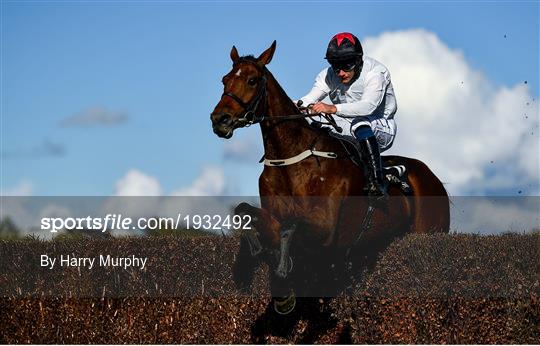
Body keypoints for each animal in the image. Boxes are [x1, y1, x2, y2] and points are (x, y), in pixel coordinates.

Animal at [209, 41, 450, 316]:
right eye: (224, 79)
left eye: (251, 80)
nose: (219, 120)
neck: (291, 159)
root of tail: (433, 178)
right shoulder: (274, 212)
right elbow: (245, 210)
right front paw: (257, 254)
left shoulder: (324, 226)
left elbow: (290, 226)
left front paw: (283, 270)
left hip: (429, 230)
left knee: (362, 124)